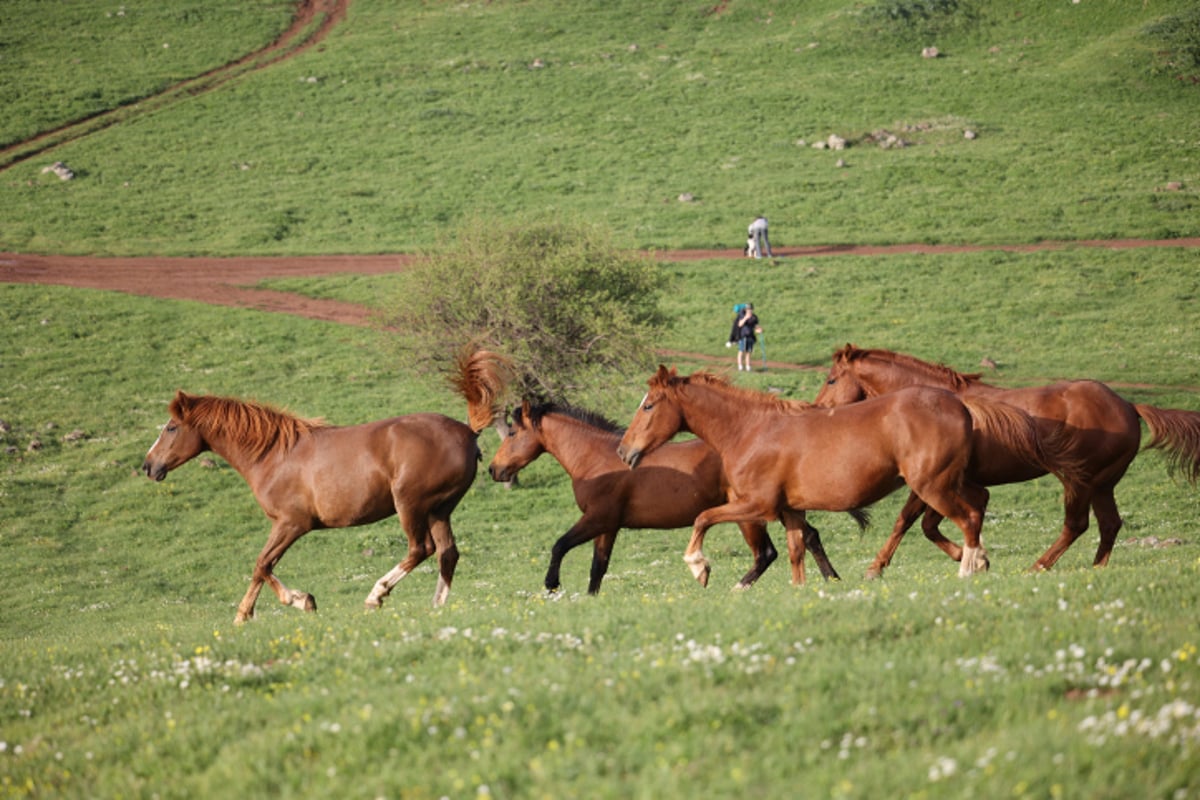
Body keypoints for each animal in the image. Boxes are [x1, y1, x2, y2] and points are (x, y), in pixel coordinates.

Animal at [141, 347, 511, 623]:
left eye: (171, 427)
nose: (148, 466)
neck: (275, 455)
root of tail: (467, 432)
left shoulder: (292, 523)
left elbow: (262, 564)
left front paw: (293, 602)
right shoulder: (285, 525)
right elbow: (263, 566)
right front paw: (251, 613)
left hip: (411, 504)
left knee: (421, 549)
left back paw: (376, 595)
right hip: (439, 510)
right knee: (448, 553)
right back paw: (437, 606)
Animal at [482, 400, 849, 594]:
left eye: (511, 432)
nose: (493, 469)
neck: (597, 458)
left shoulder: (597, 518)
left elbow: (560, 545)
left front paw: (551, 584)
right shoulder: (609, 526)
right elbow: (598, 568)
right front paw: (589, 599)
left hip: (750, 515)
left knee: (766, 553)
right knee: (808, 537)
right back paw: (832, 579)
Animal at [614, 367, 1056, 582]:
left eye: (649, 405)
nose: (623, 450)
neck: (751, 430)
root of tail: (960, 405)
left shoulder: (757, 505)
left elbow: (702, 518)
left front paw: (698, 566)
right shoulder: (790, 511)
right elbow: (797, 552)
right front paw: (803, 590)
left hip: (933, 486)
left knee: (966, 518)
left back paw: (967, 568)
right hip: (950, 482)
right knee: (977, 508)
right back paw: (977, 561)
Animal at [811, 347, 1200, 573]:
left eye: (831, 379)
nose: (816, 409)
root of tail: (1129, 406)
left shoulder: (935, 481)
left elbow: (910, 521)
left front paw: (877, 566)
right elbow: (924, 524)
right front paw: (968, 556)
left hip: (1078, 481)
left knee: (1076, 525)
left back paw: (1038, 566)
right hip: (1103, 484)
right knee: (1109, 525)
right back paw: (1096, 569)